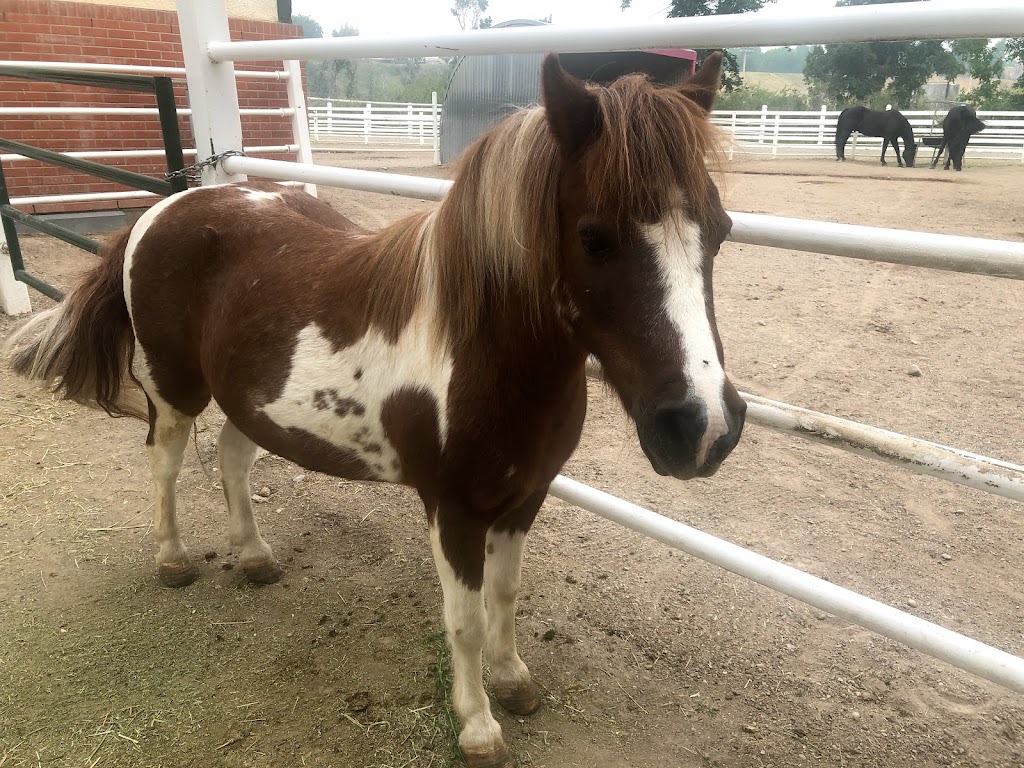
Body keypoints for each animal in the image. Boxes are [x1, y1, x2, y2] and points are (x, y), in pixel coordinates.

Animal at [6, 54, 745, 768]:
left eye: (720, 230)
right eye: (594, 238)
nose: (702, 426)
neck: (481, 351)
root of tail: (165, 208)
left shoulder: (525, 497)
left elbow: (505, 597)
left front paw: (514, 682)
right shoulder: (454, 509)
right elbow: (465, 619)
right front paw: (478, 727)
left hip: (251, 402)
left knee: (232, 459)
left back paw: (254, 556)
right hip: (175, 390)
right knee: (164, 463)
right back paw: (172, 560)